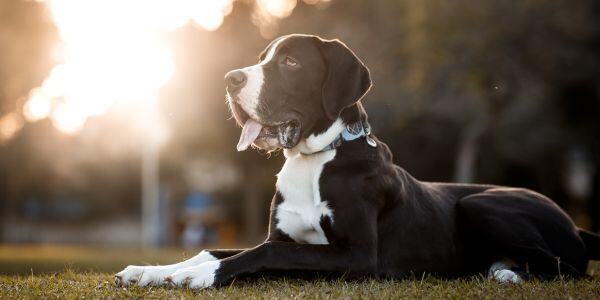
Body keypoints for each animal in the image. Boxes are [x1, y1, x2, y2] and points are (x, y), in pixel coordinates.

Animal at [115, 33, 596, 288]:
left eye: (289, 62)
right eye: (261, 59)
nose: (230, 79)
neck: (316, 158)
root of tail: (577, 227)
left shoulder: (361, 256)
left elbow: (262, 251)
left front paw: (201, 276)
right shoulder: (287, 237)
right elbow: (215, 246)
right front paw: (150, 271)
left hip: (481, 203)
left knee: (567, 266)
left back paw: (507, 272)